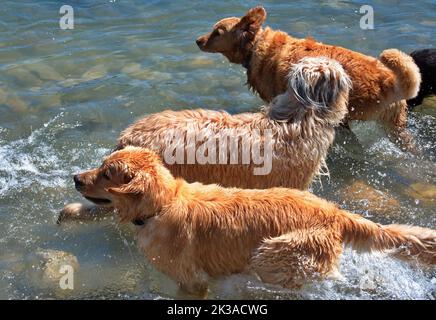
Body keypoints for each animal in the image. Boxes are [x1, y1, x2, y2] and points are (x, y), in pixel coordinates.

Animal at [70, 147, 434, 296]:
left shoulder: (191, 281)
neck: (162, 205)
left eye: (106, 174)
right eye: (101, 165)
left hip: (272, 253)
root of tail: (334, 211)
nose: (75, 177)